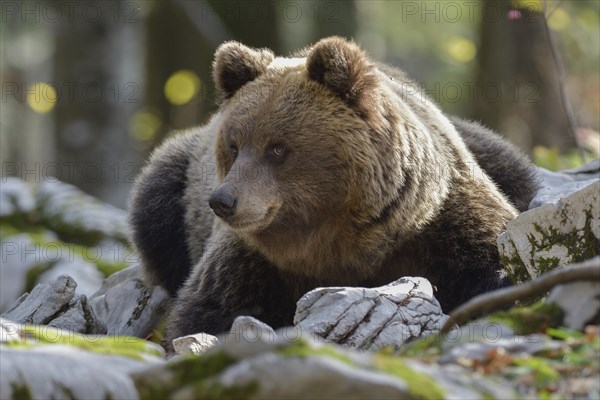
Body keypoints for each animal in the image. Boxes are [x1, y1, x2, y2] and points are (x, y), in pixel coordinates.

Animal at [129, 36, 536, 340]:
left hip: (488, 149)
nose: (223, 201)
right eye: (233, 144)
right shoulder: (254, 256)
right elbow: (210, 307)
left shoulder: (440, 219)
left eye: (277, 147)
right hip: (175, 180)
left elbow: (490, 261)